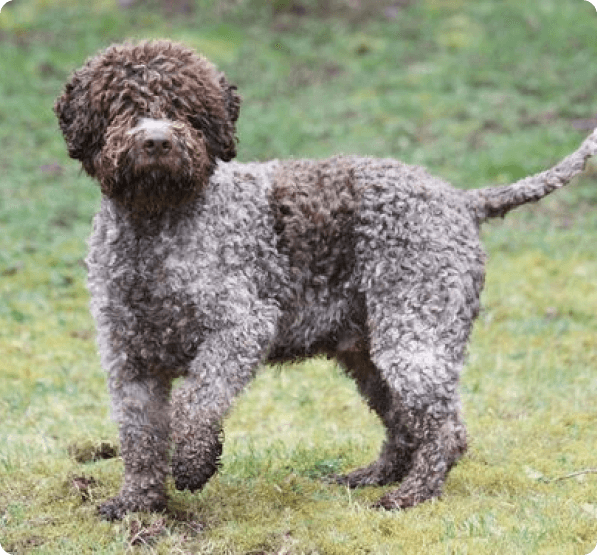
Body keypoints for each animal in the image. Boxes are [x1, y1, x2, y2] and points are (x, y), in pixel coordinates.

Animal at [54, 40, 596, 520]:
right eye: (122, 106)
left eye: (183, 109)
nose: (156, 142)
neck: (155, 223)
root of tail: (460, 199)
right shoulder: (129, 358)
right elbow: (140, 439)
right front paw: (137, 502)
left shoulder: (240, 328)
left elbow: (197, 401)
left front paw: (192, 464)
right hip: (368, 351)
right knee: (405, 423)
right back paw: (376, 475)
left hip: (412, 332)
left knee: (445, 429)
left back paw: (412, 494)